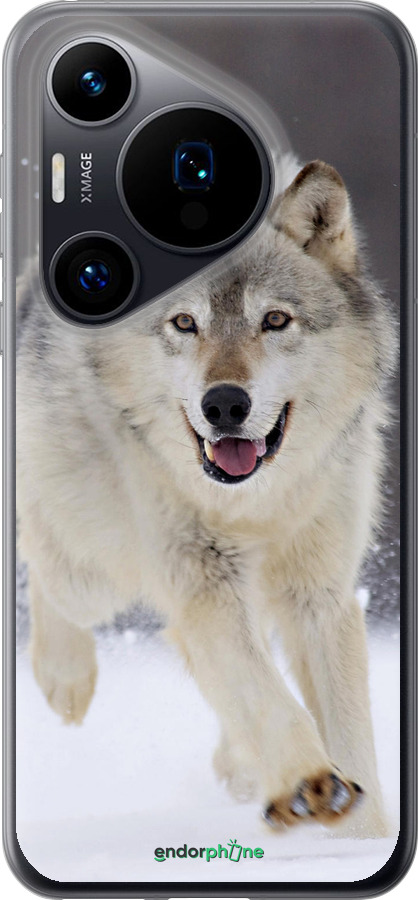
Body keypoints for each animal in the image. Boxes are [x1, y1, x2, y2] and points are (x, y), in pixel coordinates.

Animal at [16, 157, 395, 837]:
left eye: (275, 320)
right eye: (185, 323)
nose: (224, 405)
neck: (257, 503)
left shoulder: (319, 593)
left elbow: (349, 733)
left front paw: (362, 837)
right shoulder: (203, 581)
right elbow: (265, 694)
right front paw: (310, 783)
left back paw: (241, 766)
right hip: (94, 572)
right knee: (43, 559)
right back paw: (66, 678)